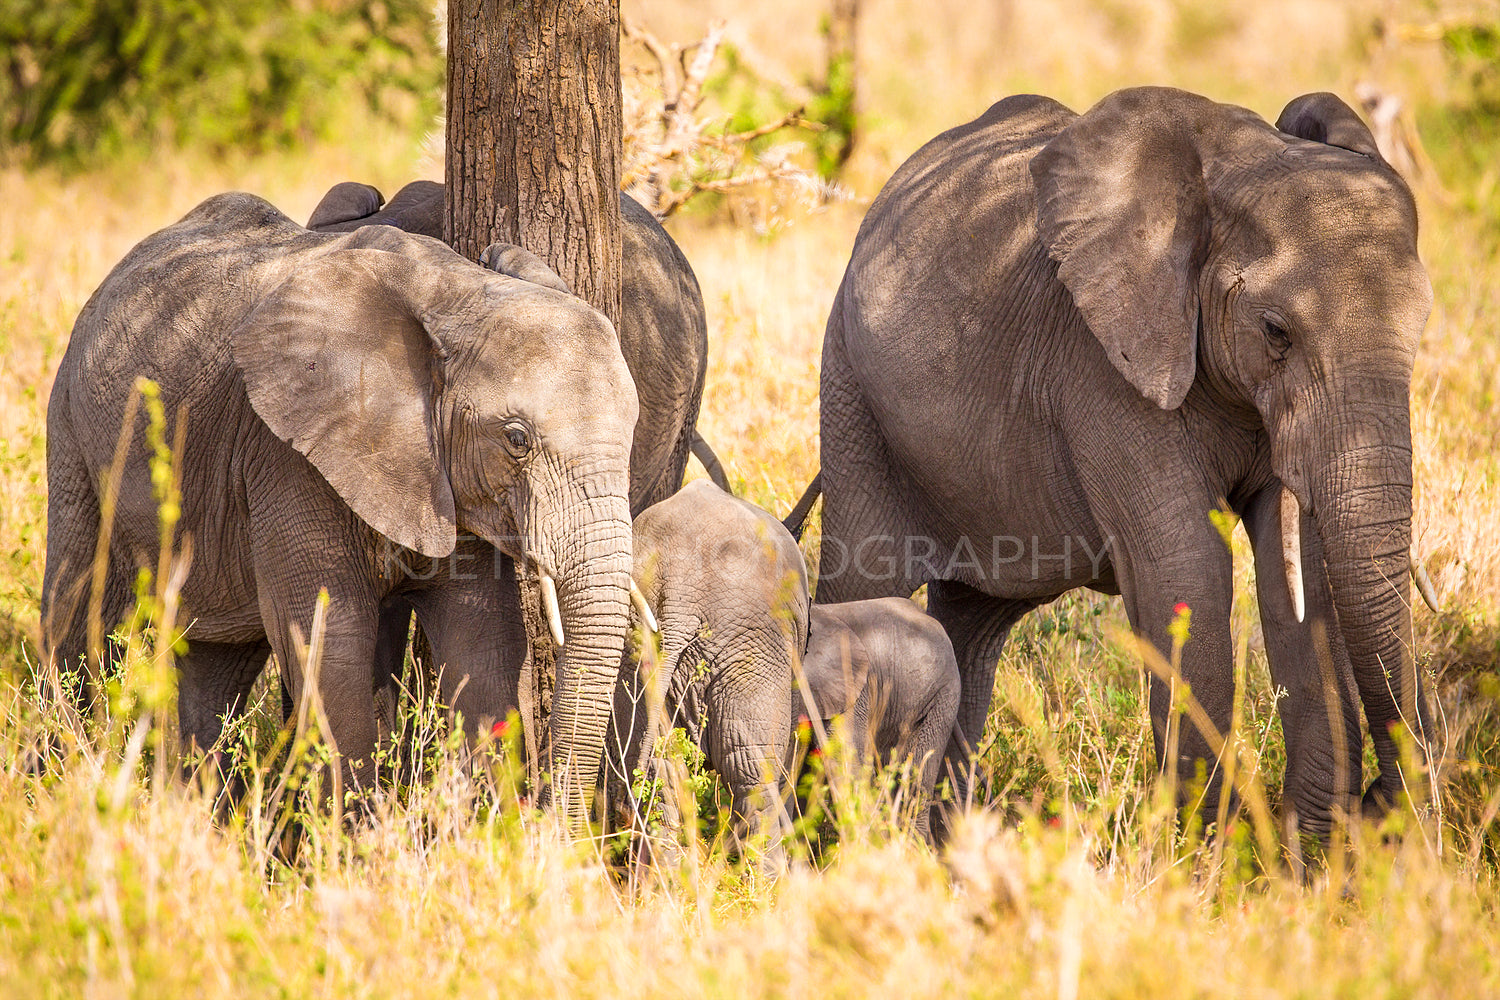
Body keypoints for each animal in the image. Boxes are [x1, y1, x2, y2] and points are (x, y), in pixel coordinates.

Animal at [41, 193, 639, 821]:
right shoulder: (285, 452)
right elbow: (332, 638)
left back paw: (197, 818)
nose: (556, 820)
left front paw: (482, 828)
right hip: (73, 428)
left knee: (217, 663)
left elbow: (485, 641)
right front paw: (358, 837)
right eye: (516, 439)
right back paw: (63, 781)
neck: (457, 293)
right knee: (79, 613)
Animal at [816, 86, 1434, 839]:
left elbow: (1295, 566)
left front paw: (1303, 855)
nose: (1378, 804)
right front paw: (1207, 857)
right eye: (1275, 332)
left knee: (972, 623)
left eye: (1421, 326)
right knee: (864, 584)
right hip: (852, 395)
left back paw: (942, 840)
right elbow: (1187, 566)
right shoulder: (1101, 369)